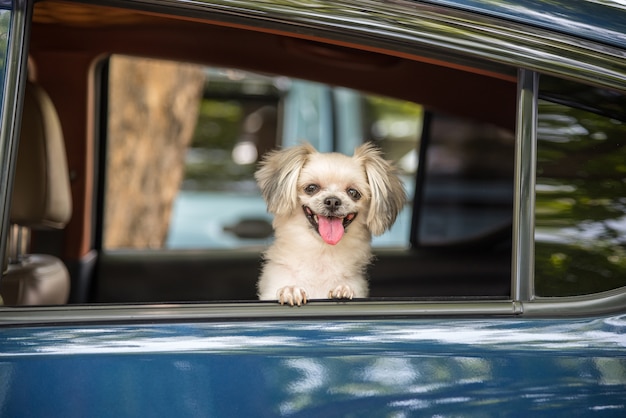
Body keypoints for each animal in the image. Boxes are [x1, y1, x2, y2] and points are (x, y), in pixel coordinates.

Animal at [254, 142, 404, 306]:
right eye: (311, 188)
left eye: (353, 192)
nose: (332, 201)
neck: (322, 253)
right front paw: (291, 290)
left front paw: (342, 290)